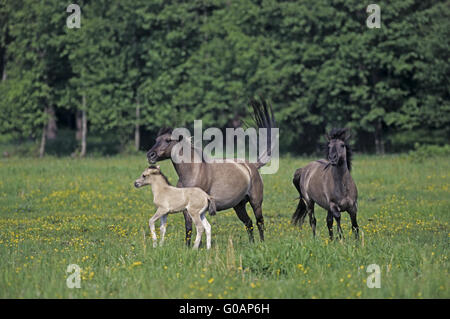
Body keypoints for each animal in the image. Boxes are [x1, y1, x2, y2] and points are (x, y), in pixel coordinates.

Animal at [146, 99, 276, 246]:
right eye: (156, 140)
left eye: (168, 140)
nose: (150, 155)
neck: (193, 172)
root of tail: (253, 166)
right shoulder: (186, 209)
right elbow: (188, 228)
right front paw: (188, 247)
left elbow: (198, 228)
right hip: (239, 205)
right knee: (249, 222)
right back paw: (252, 244)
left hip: (256, 202)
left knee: (260, 222)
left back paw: (262, 244)